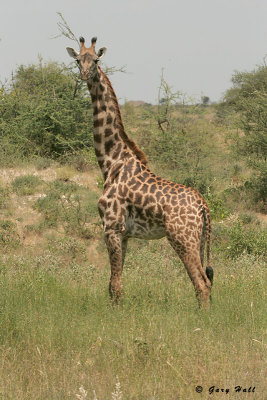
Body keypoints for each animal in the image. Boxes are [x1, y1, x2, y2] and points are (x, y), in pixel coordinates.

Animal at [67, 36, 216, 308]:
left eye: (96, 60)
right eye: (77, 60)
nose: (85, 74)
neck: (111, 162)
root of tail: (204, 206)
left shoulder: (111, 227)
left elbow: (115, 286)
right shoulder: (124, 234)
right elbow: (113, 284)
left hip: (182, 238)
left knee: (201, 283)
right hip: (200, 239)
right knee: (207, 280)